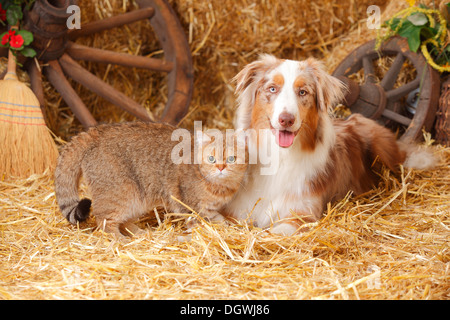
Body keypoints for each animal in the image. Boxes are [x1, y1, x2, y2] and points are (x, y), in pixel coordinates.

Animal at [55, 121, 250, 236]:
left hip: (135, 199)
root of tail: (95, 132)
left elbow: (220, 220)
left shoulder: (208, 210)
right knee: (104, 221)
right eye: (211, 158)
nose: (221, 167)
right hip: (121, 193)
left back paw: (140, 234)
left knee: (124, 221)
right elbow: (202, 223)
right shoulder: (190, 207)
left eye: (231, 159)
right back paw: (120, 241)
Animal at [223, 54, 438, 235]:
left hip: (381, 143)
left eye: (303, 92)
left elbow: (270, 232)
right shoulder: (236, 210)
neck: (280, 155)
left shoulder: (301, 215)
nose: (286, 120)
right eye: (272, 89)